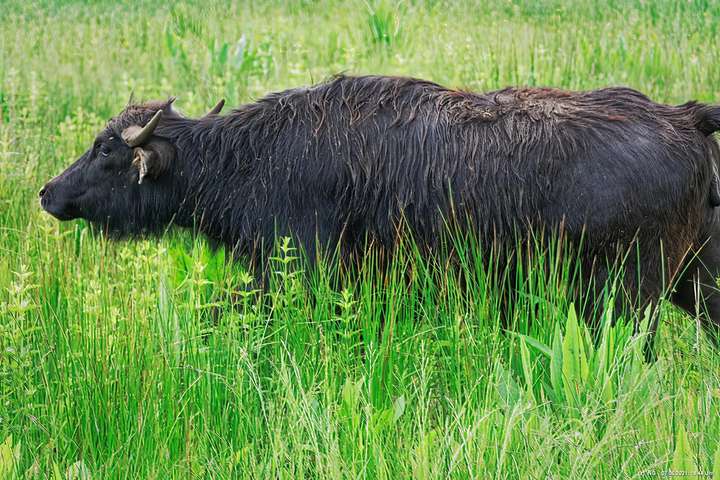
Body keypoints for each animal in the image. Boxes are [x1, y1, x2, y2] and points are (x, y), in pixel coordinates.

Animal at [39, 74, 720, 344]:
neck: (250, 159)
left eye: (105, 149)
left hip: (626, 303)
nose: (47, 193)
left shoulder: (293, 278)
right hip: (696, 285)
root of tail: (683, 117)